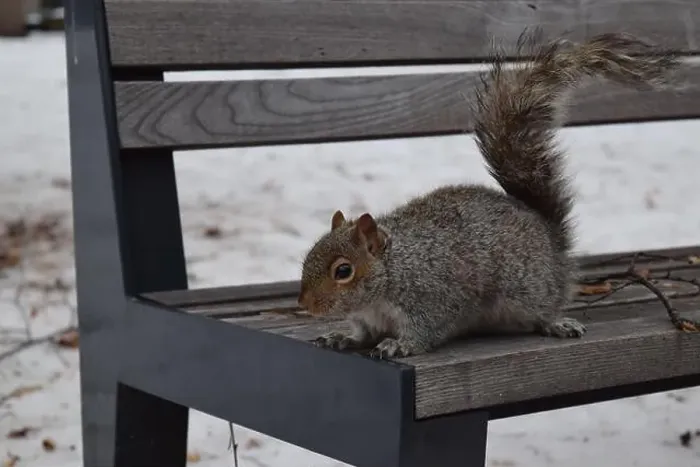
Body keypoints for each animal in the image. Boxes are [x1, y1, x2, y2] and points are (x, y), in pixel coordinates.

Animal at [296, 30, 680, 359]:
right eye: (308, 257)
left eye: (343, 271)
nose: (306, 304)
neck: (394, 269)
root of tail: (551, 237)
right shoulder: (368, 318)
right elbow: (360, 333)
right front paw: (341, 336)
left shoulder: (431, 299)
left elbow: (424, 331)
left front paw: (398, 345)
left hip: (530, 290)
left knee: (546, 307)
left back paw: (557, 322)